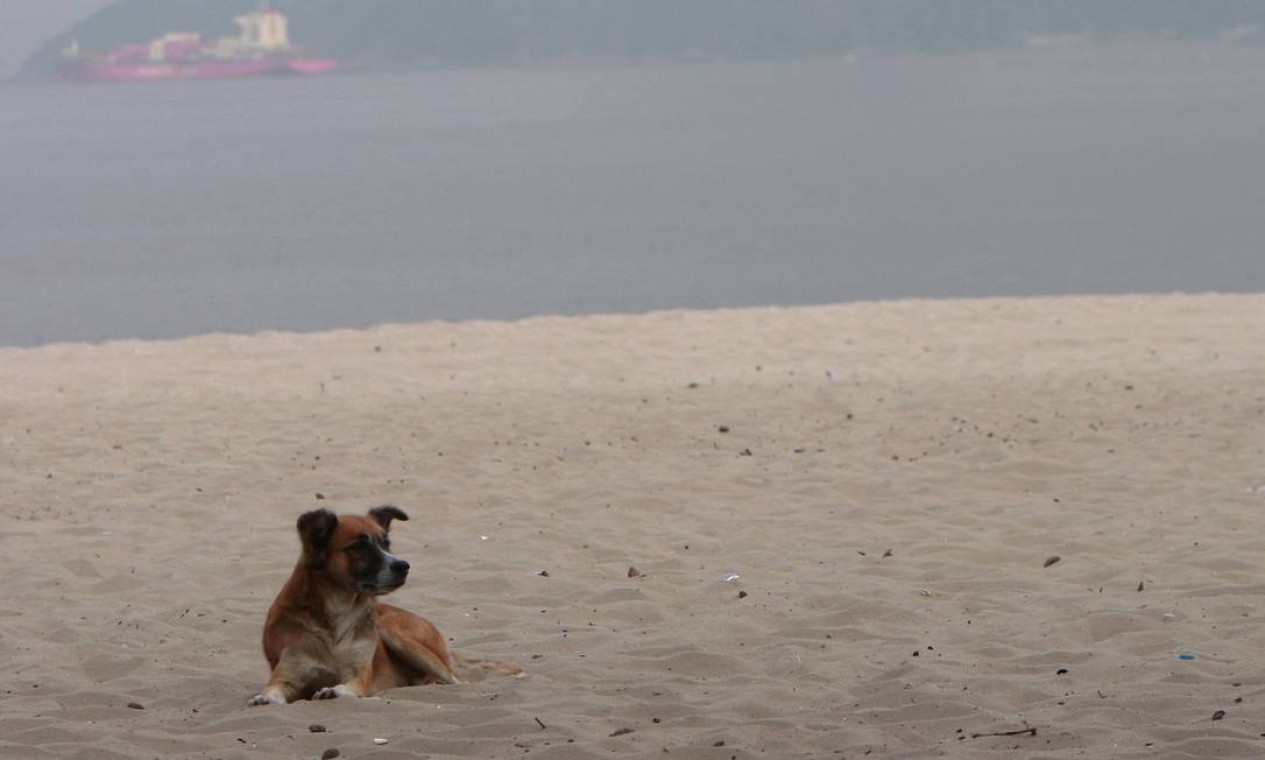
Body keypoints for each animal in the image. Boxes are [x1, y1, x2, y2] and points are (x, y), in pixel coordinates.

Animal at [246, 503, 460, 703]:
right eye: (359, 547)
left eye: (386, 543)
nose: (404, 566)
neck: (338, 612)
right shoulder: (288, 674)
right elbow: (274, 689)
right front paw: (264, 698)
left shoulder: (358, 676)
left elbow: (349, 686)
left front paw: (333, 691)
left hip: (393, 632)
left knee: (457, 680)